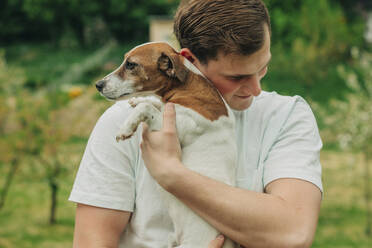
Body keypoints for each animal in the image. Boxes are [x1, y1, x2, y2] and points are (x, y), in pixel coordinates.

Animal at [95, 41, 235, 247]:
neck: (188, 88)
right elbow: (152, 102)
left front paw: (127, 127)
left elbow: (147, 108)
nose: (98, 85)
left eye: (131, 64)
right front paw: (138, 100)